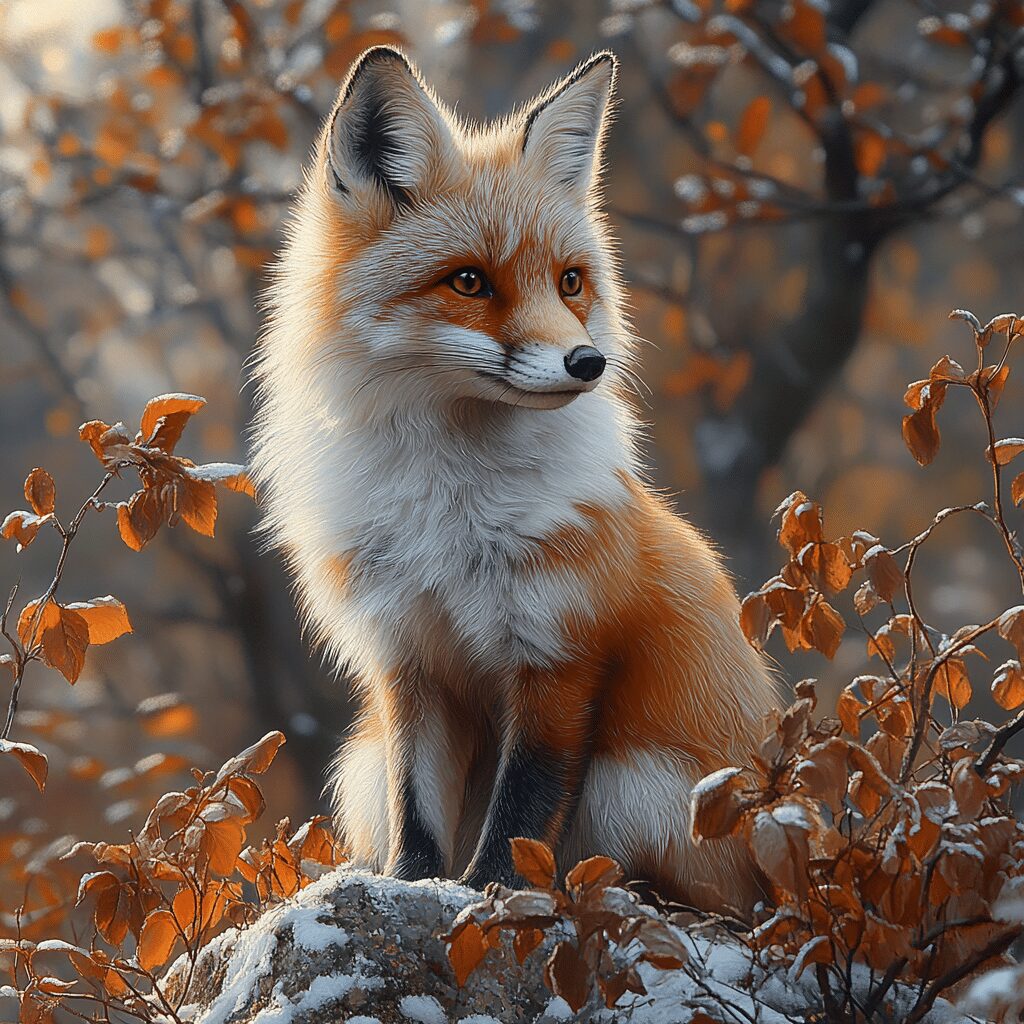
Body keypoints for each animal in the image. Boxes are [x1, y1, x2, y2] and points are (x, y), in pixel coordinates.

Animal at [249, 46, 779, 916]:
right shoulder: (409, 660)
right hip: (360, 767)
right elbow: (418, 809)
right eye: (469, 282)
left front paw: (492, 891)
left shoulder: (558, 651)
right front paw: (411, 886)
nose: (587, 362)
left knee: (711, 902)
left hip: (636, 784)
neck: (449, 507)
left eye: (570, 282)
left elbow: (524, 808)